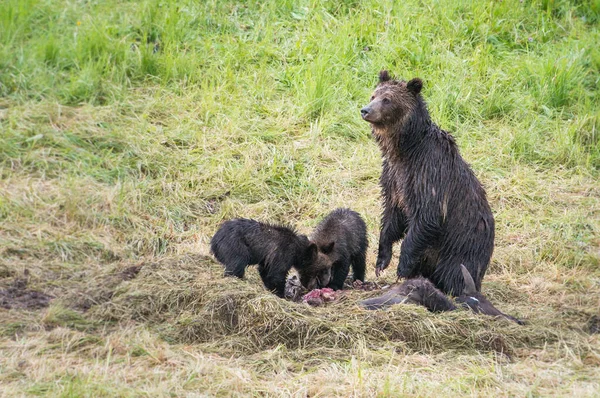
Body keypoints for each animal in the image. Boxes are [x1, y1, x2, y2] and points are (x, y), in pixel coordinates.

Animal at [358, 71, 494, 296]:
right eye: (373, 95)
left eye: (387, 99)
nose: (365, 110)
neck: (405, 149)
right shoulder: (393, 177)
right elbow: (392, 215)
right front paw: (381, 260)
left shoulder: (429, 173)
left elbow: (427, 216)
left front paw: (402, 266)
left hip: (462, 247)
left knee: (455, 272)